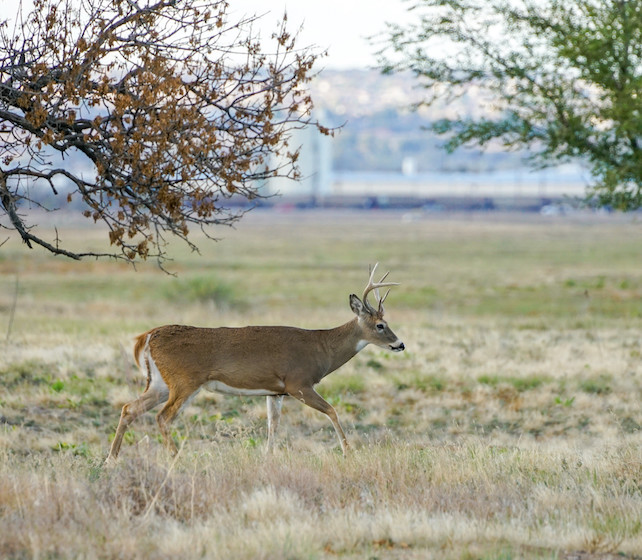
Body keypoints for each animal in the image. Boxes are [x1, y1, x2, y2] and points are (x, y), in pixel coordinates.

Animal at [105, 264, 404, 464]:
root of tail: (147, 336)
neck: (322, 348)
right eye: (380, 325)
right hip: (184, 381)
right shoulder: (298, 383)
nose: (400, 344)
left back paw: (111, 459)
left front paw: (268, 457)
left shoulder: (276, 391)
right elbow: (332, 410)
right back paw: (176, 458)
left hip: (159, 382)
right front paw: (348, 451)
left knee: (129, 409)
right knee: (162, 417)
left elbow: (273, 425)